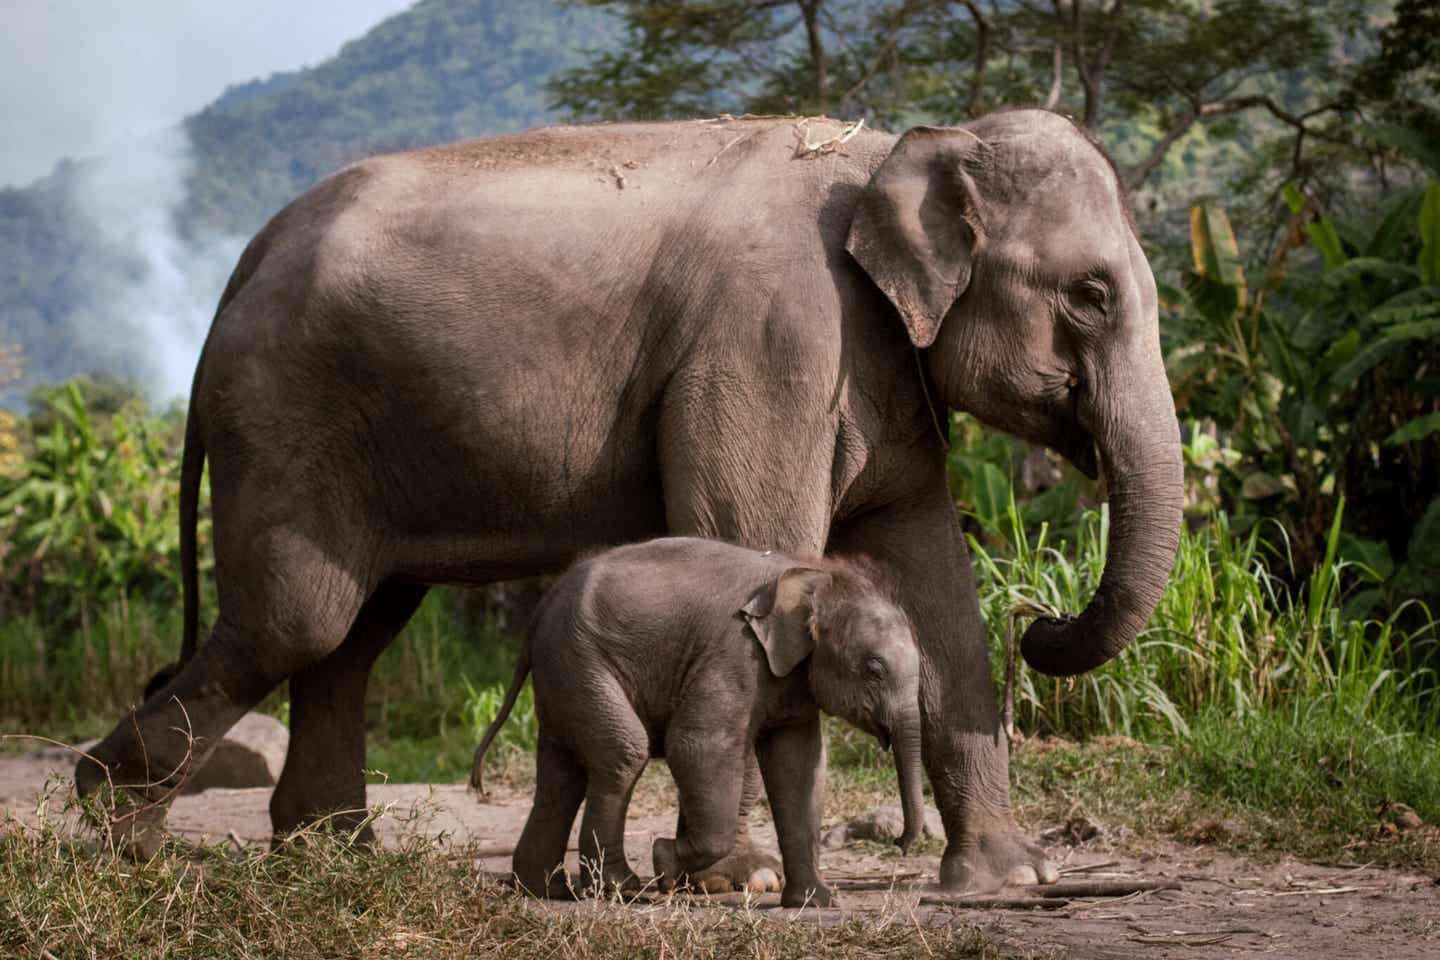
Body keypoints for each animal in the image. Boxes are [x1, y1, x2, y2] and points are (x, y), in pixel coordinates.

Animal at [472, 541, 921, 909]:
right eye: (874, 669)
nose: (900, 843)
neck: (811, 573)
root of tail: (541, 610)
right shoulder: (734, 653)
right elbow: (697, 745)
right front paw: (663, 861)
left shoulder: (790, 678)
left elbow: (799, 765)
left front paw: (813, 902)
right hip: (580, 662)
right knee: (623, 751)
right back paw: (623, 889)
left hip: (562, 673)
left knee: (560, 774)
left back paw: (545, 890)